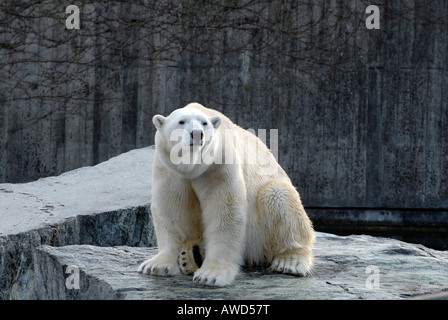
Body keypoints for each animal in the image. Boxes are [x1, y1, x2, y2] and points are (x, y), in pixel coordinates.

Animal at [137, 102, 316, 284]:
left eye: (204, 123)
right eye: (181, 122)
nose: (197, 134)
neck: (193, 167)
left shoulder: (219, 166)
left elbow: (224, 211)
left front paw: (211, 275)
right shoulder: (170, 170)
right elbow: (171, 209)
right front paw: (157, 265)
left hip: (262, 228)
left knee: (278, 196)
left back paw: (289, 262)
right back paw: (191, 256)